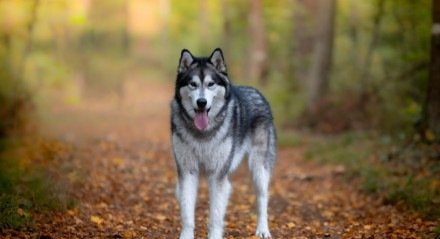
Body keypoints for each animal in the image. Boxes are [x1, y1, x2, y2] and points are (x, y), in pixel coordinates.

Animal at [171, 47, 276, 238]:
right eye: (193, 84)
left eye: (211, 84)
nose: (201, 102)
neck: (202, 134)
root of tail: (256, 91)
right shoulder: (187, 172)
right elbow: (187, 213)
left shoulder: (217, 175)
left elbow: (215, 216)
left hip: (259, 168)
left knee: (262, 198)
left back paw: (263, 229)